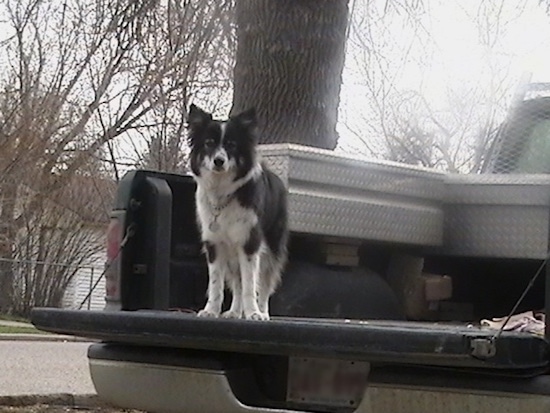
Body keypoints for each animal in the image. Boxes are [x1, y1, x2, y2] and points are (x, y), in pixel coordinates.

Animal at [189, 104, 292, 322]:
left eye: (231, 145)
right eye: (209, 143)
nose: (219, 161)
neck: (223, 193)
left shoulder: (250, 243)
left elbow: (250, 285)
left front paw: (253, 313)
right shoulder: (215, 244)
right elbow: (216, 285)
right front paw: (211, 311)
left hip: (271, 249)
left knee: (264, 282)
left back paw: (262, 311)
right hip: (232, 253)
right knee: (237, 283)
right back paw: (235, 312)